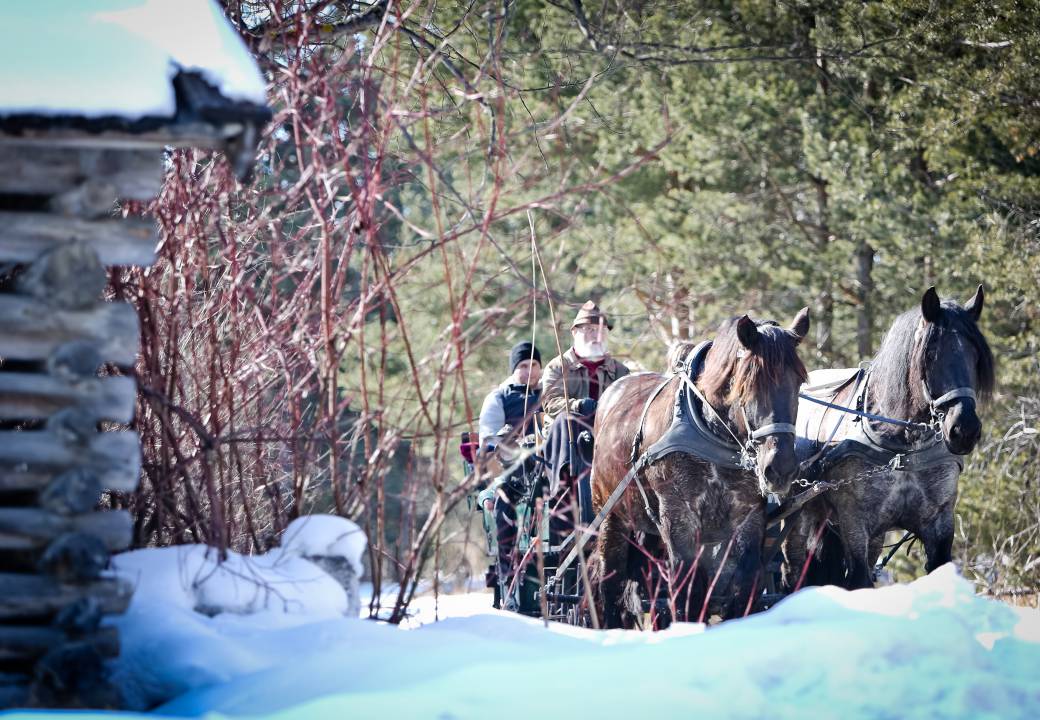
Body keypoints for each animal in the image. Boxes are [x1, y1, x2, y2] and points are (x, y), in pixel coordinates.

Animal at [590, 307, 807, 624]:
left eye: (799, 382)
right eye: (748, 383)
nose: (780, 468)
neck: (707, 429)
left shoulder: (748, 518)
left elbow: (743, 587)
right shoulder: (679, 517)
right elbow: (689, 592)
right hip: (611, 517)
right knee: (610, 582)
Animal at [782, 287, 994, 590]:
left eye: (975, 355)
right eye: (930, 354)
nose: (964, 429)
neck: (903, 449)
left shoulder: (939, 524)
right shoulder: (855, 523)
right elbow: (858, 580)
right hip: (800, 519)